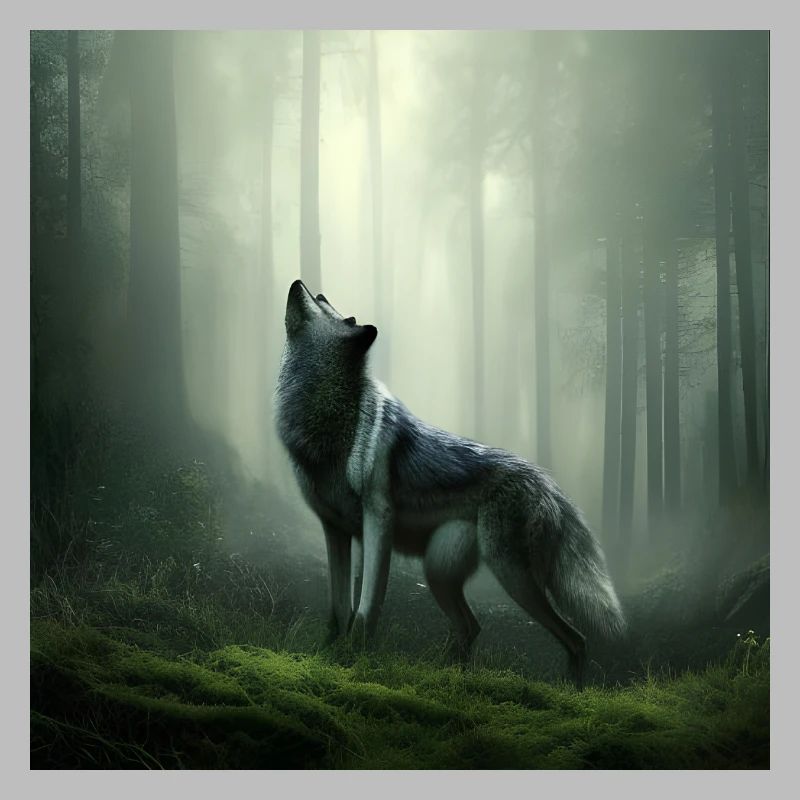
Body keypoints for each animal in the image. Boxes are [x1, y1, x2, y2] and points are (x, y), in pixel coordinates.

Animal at [275, 280, 625, 687]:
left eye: (330, 308)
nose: (301, 283)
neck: (328, 421)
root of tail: (547, 483)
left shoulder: (377, 520)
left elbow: (366, 608)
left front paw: (355, 660)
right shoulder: (335, 530)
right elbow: (338, 608)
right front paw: (327, 654)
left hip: (510, 575)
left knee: (576, 637)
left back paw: (573, 690)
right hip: (439, 573)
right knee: (472, 627)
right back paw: (448, 677)